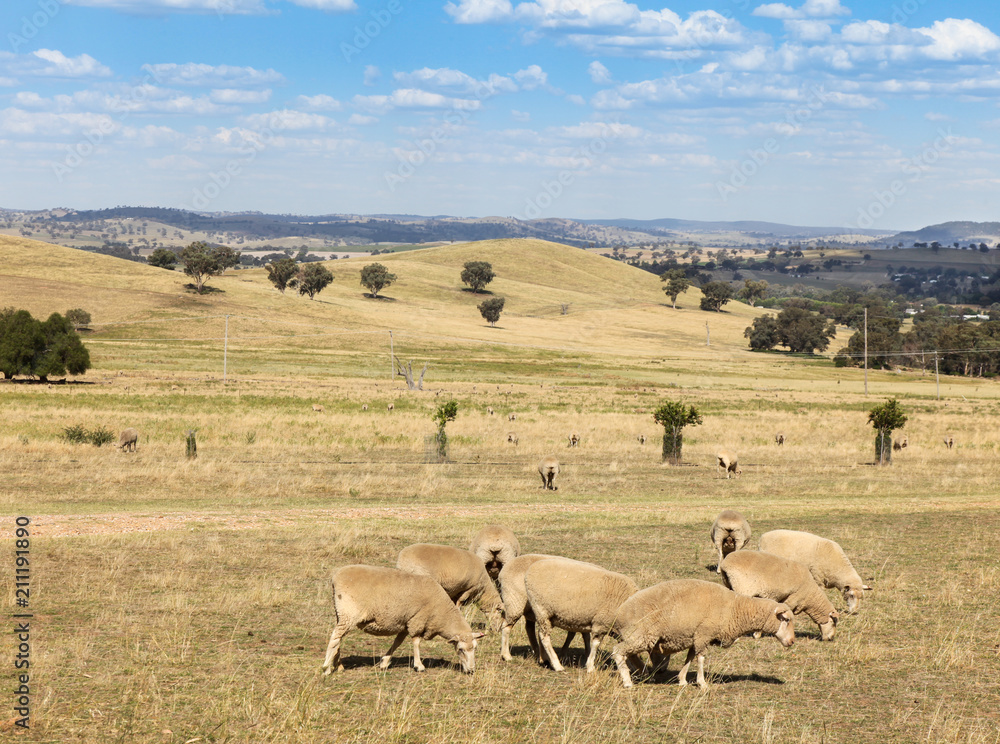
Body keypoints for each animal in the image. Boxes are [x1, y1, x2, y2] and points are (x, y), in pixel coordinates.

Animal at [322, 565, 484, 675]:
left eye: (475, 648)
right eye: (461, 650)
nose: (471, 670)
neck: (441, 612)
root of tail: (335, 578)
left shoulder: (406, 622)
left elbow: (397, 642)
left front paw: (384, 662)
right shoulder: (417, 620)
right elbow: (416, 642)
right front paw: (419, 665)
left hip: (341, 614)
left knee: (338, 639)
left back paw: (339, 666)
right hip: (349, 613)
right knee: (335, 638)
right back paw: (327, 668)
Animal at [610, 579, 795, 688]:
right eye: (786, 620)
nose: (792, 641)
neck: (734, 608)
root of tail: (620, 611)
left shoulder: (695, 636)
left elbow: (690, 658)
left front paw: (682, 680)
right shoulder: (704, 634)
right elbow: (700, 659)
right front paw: (702, 683)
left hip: (638, 636)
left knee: (630, 655)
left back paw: (645, 674)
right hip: (640, 635)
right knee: (618, 652)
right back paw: (627, 681)